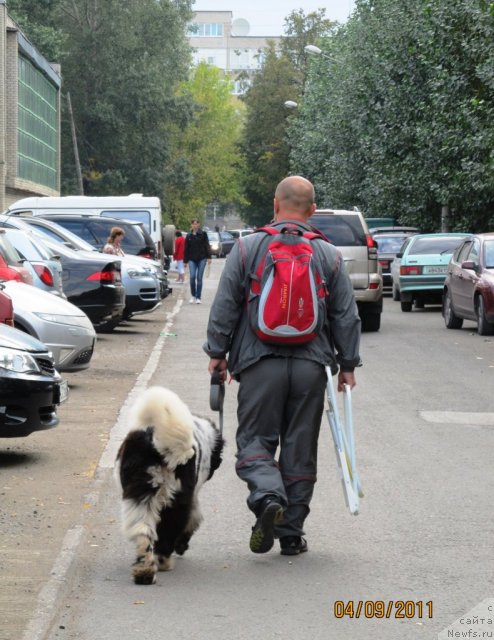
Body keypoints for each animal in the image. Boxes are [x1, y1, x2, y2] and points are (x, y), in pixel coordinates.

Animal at [114, 384, 224, 584]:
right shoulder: (191, 496)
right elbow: (194, 518)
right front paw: (181, 544)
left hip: (140, 497)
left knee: (142, 531)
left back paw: (145, 571)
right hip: (175, 500)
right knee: (167, 530)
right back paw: (163, 562)